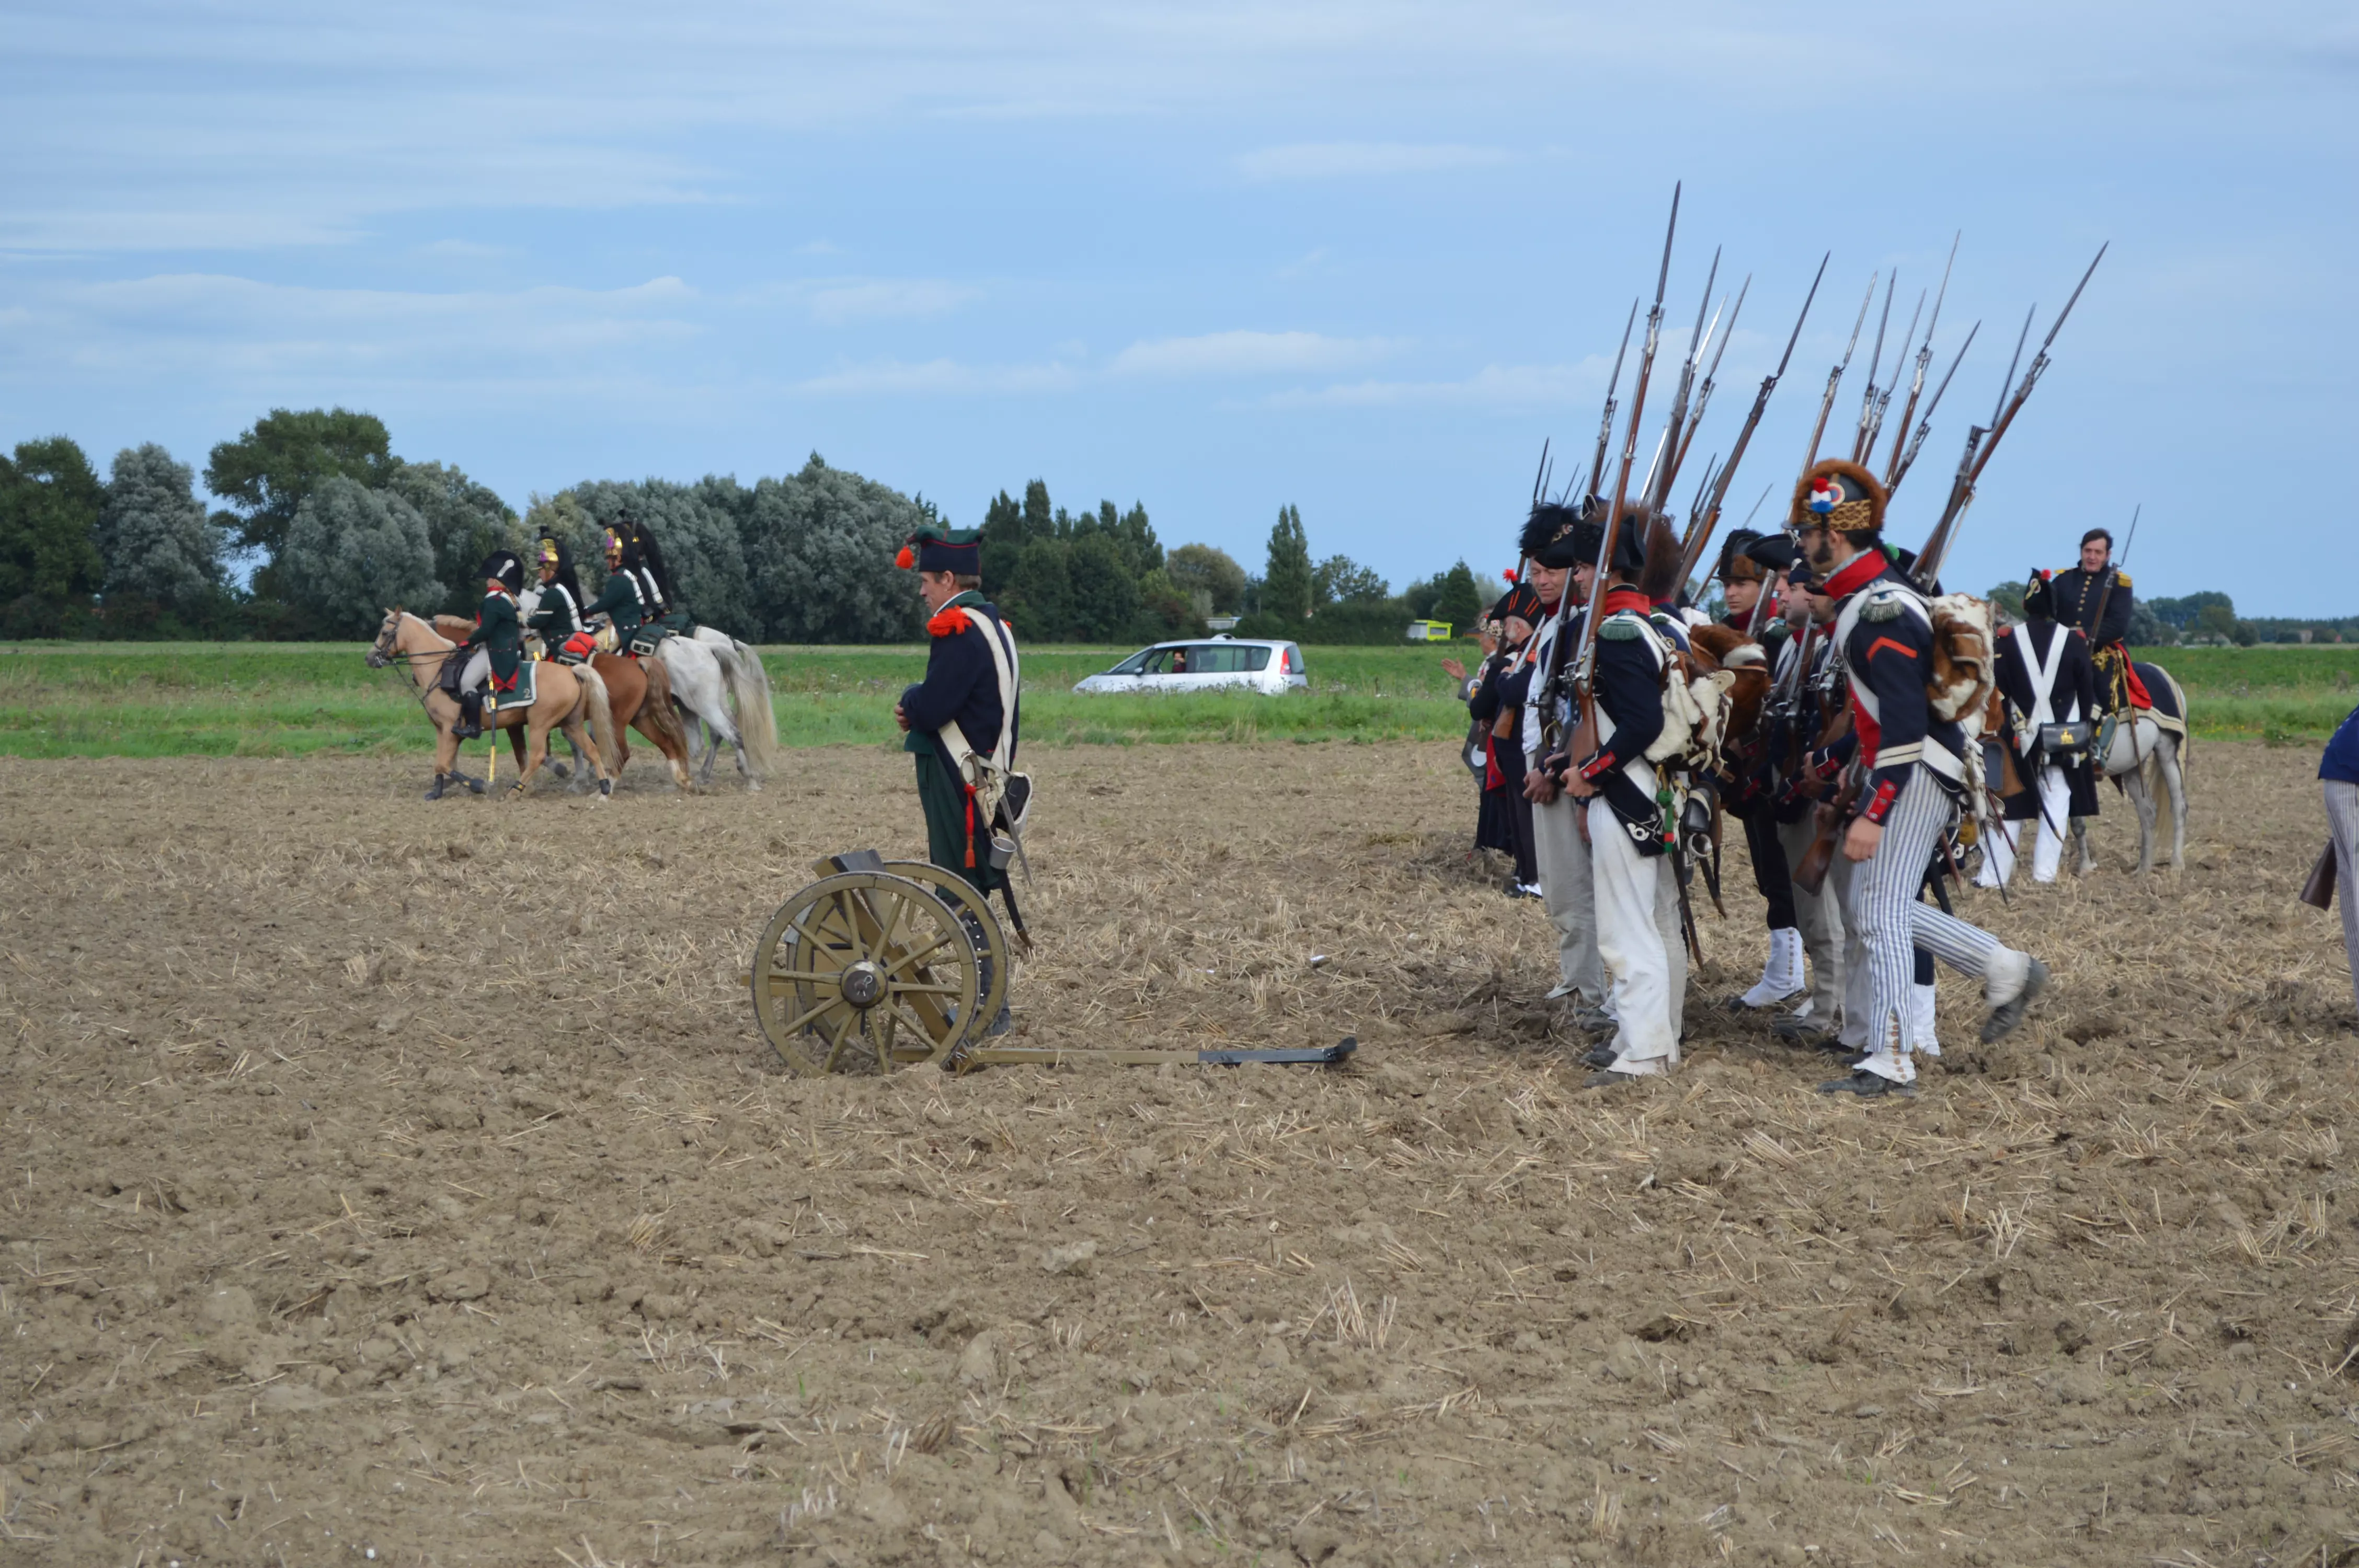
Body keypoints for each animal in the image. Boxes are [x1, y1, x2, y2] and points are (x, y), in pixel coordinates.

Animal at [363, 608, 613, 801]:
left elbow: (444, 764)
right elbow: (442, 764)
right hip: (571, 723)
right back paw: (603, 788)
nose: (370, 658)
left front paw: (479, 785)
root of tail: (571, 671)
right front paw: (437, 791)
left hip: (540, 724)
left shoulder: (451, 729)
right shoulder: (442, 730)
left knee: (539, 756)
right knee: (591, 749)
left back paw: (516, 790)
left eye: (385, 632)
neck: (440, 668)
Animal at [445, 601, 693, 787]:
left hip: (620, 721)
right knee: (665, 742)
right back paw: (681, 779)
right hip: (638, 718)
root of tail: (639, 664)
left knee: (624, 753)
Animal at [2066, 655, 2189, 882]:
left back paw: (2176, 864)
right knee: (2148, 812)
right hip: (2132, 766)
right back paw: (2144, 868)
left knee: (2178, 805)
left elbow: (2077, 821)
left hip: (2167, 751)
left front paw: (2085, 867)